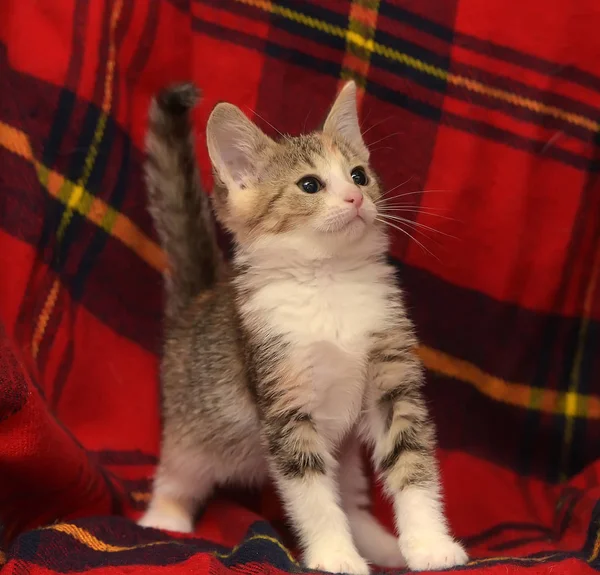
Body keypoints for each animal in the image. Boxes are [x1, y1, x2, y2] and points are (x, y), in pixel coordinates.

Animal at [138, 82, 466, 575]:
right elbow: (311, 491)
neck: (329, 282)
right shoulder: (283, 401)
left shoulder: (392, 380)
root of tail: (197, 303)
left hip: (346, 455)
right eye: (310, 184)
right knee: (179, 471)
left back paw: (380, 545)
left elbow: (410, 461)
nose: (355, 199)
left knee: (350, 498)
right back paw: (164, 519)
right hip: (193, 426)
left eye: (359, 175)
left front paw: (429, 543)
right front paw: (335, 555)